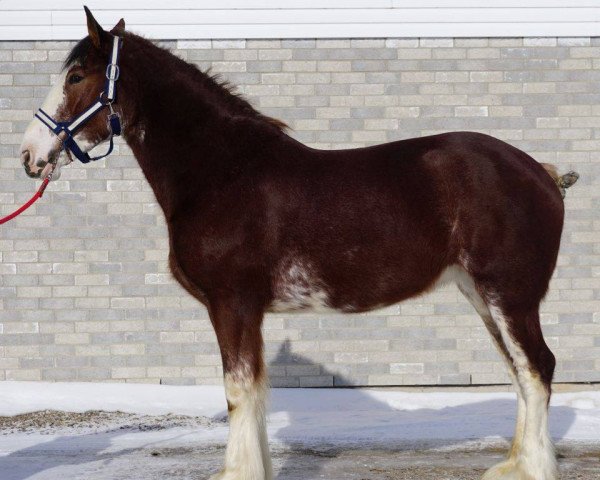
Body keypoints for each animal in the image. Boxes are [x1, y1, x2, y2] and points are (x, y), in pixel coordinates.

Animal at [19, 7, 580, 480]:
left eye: (75, 77)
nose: (29, 155)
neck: (221, 171)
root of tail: (540, 171)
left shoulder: (232, 304)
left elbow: (238, 390)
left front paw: (239, 472)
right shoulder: (248, 311)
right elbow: (255, 391)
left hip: (509, 295)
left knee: (537, 368)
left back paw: (531, 469)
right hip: (482, 296)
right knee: (519, 372)